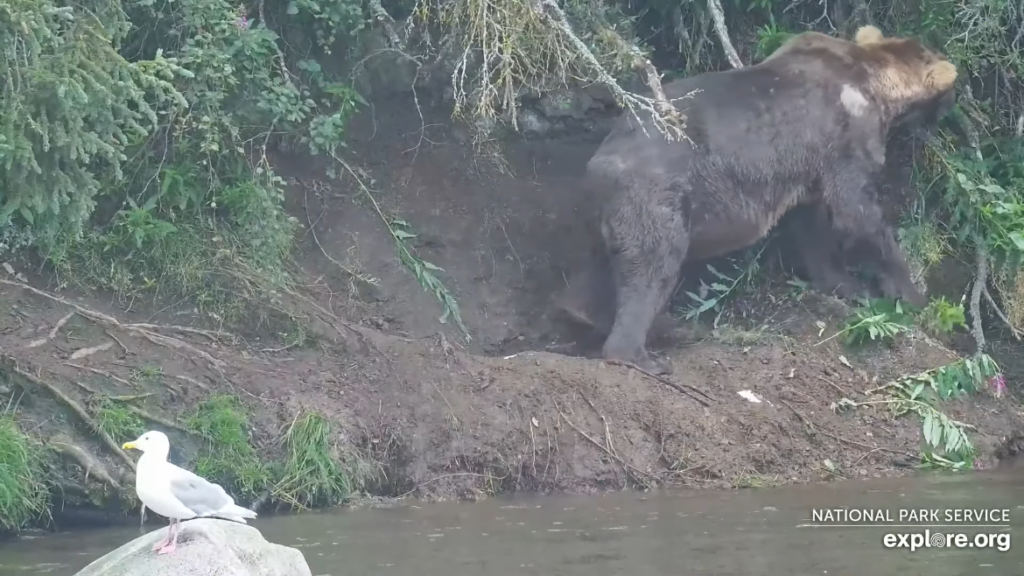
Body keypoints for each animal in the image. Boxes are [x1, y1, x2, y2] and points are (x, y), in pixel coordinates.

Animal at [557, 24, 954, 373]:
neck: (875, 81)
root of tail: (601, 162)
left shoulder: (808, 167)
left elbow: (812, 227)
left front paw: (845, 283)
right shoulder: (845, 135)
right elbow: (856, 212)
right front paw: (910, 293)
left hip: (602, 211)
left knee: (601, 267)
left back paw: (591, 315)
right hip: (657, 197)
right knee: (653, 265)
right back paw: (641, 353)